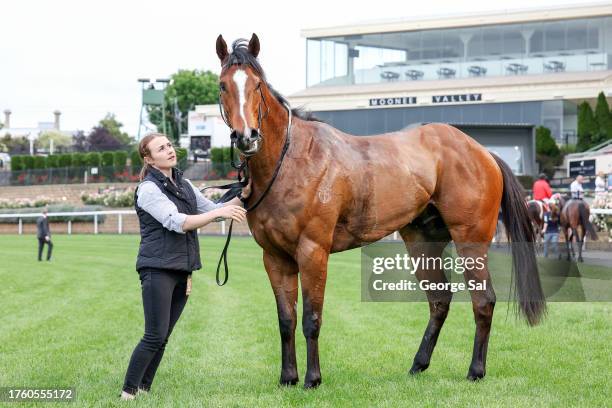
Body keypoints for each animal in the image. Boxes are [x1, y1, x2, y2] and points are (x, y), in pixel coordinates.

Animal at [214, 34, 544, 388]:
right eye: (223, 85)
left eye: (258, 84)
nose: (246, 137)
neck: (294, 159)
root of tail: (482, 151)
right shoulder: (275, 257)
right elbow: (285, 319)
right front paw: (288, 377)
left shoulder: (313, 251)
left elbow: (311, 318)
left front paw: (313, 379)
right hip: (422, 244)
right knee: (439, 300)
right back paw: (418, 364)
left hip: (471, 241)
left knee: (483, 300)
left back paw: (476, 370)